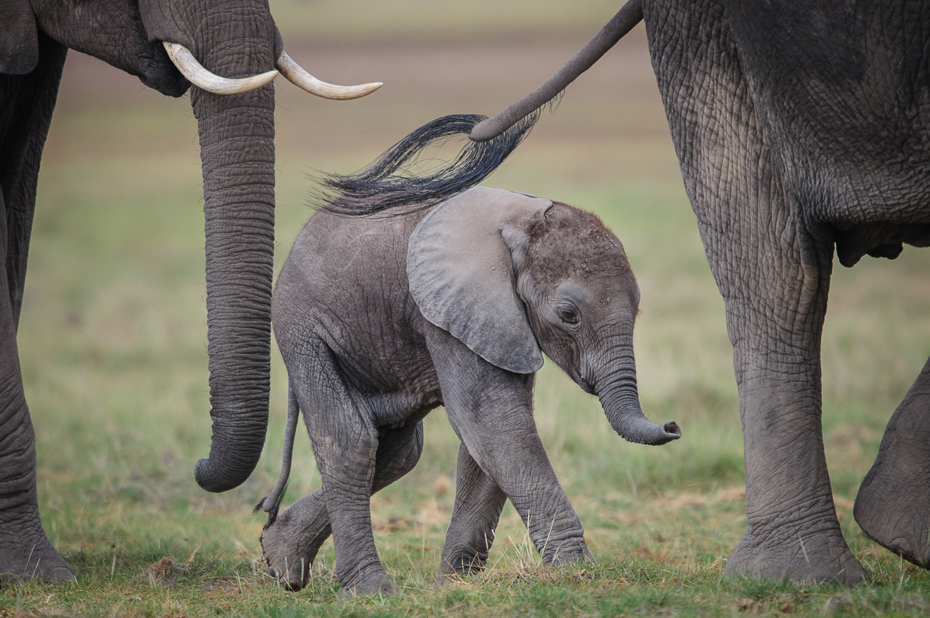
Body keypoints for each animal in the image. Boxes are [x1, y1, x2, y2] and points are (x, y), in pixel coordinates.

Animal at [258, 185, 676, 596]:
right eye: (568, 315)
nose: (672, 426)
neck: (519, 223)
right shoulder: (451, 310)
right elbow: (494, 422)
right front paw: (575, 571)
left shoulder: (501, 323)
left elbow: (488, 438)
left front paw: (454, 586)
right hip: (302, 328)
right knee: (352, 443)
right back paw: (369, 591)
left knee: (398, 453)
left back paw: (280, 558)